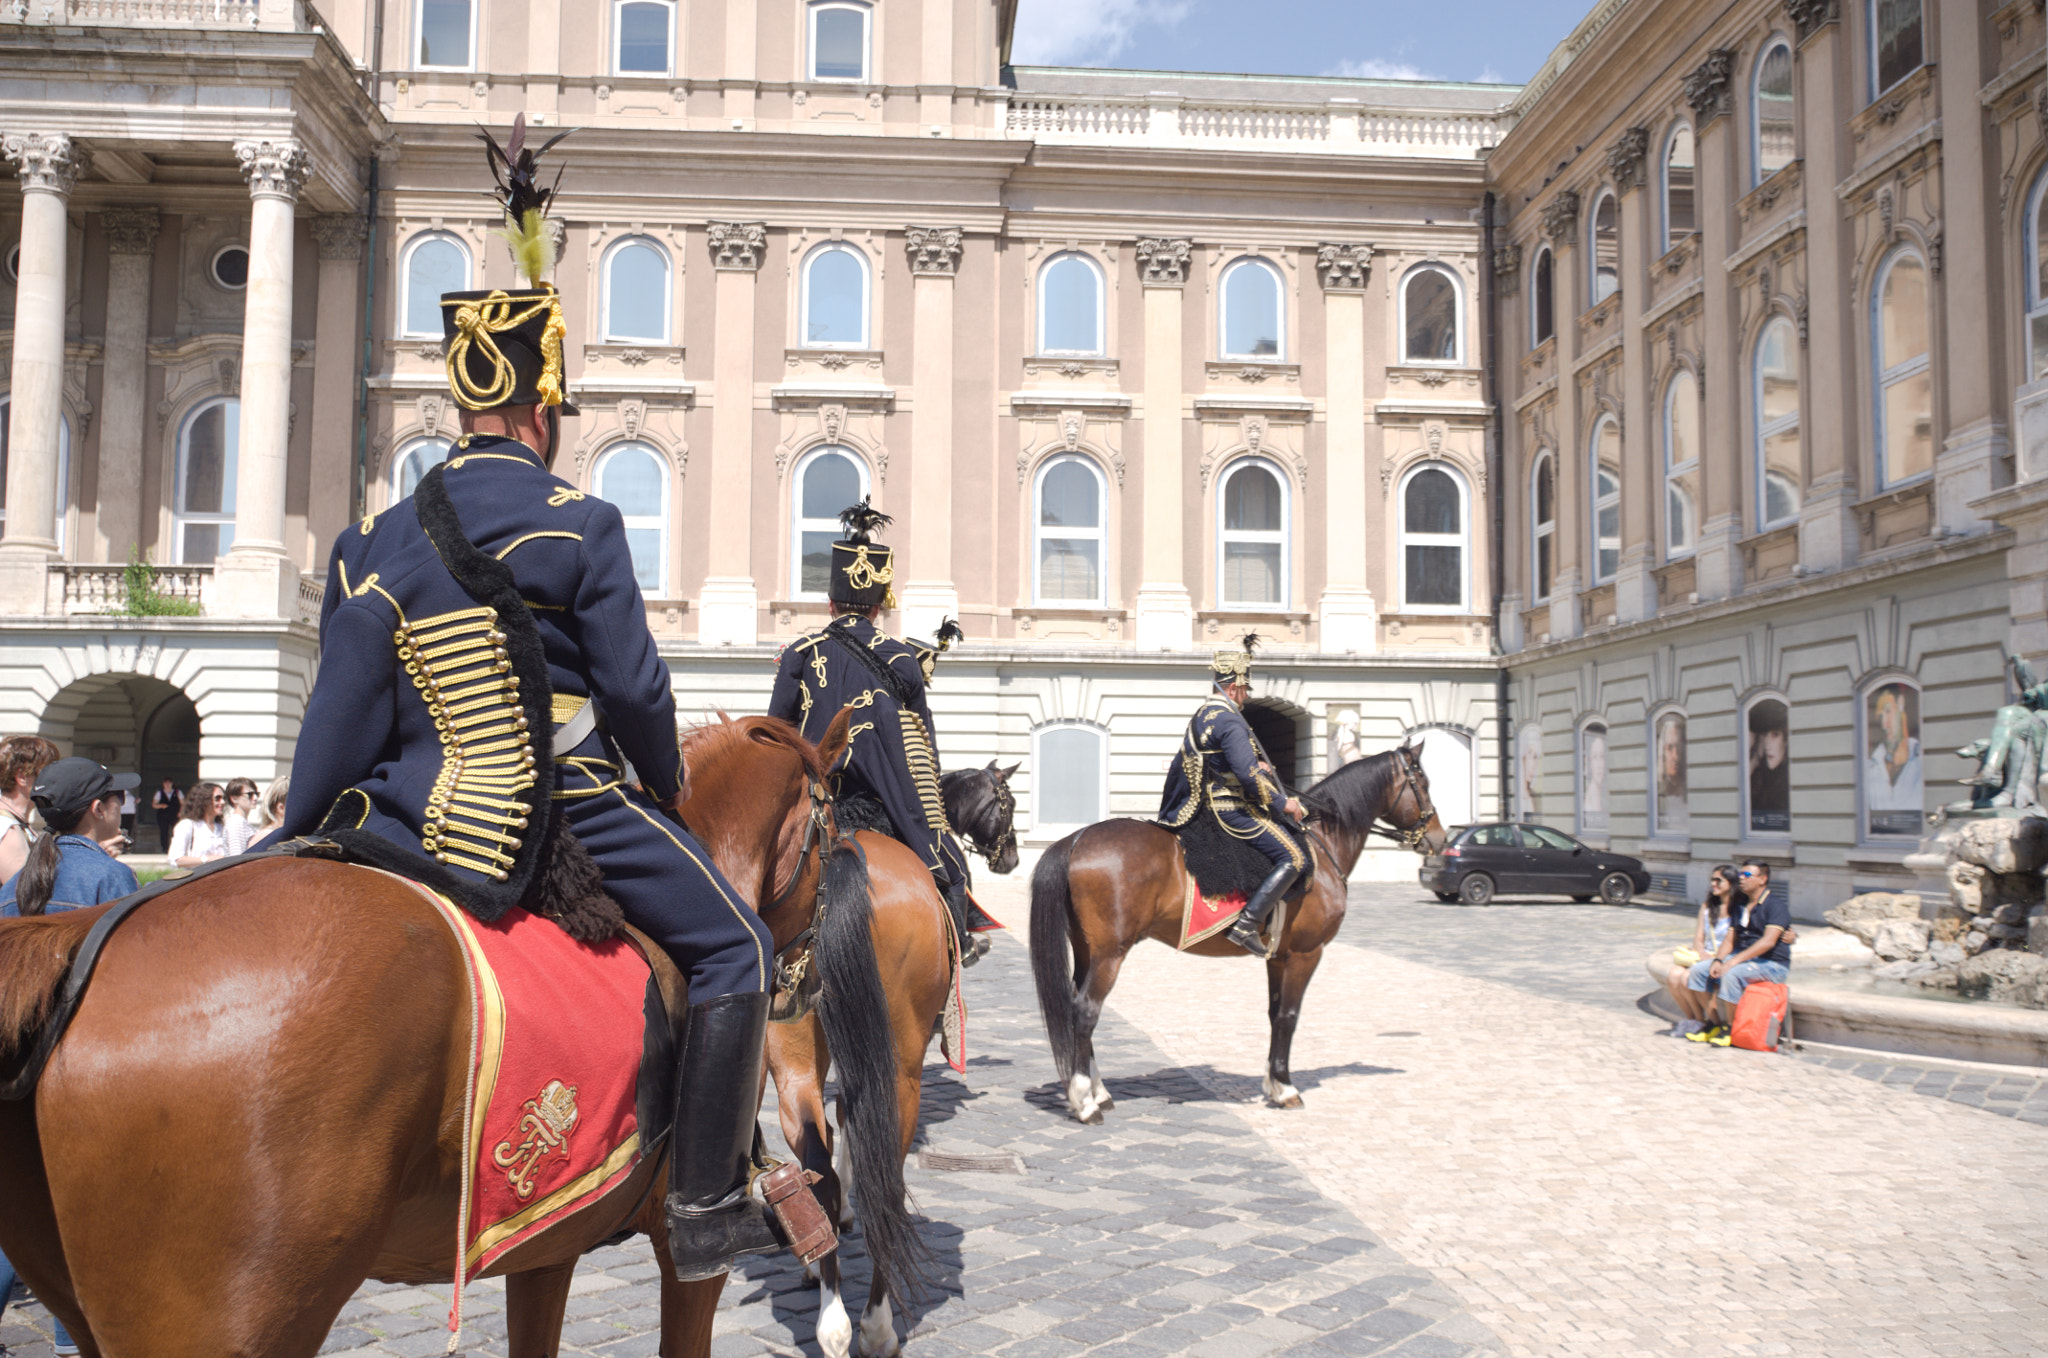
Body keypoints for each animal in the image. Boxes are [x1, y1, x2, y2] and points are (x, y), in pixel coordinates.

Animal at [765, 757, 1032, 1351]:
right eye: (1006, 803)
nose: (1011, 857)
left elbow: (842, 1121)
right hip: (901, 1065)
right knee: (887, 1175)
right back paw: (875, 1325)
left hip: (792, 1057)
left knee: (817, 1156)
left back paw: (829, 1308)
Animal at [1024, 737, 1441, 1122]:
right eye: (1422, 781)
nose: (1439, 838)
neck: (1322, 847)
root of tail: (1076, 838)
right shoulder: (1306, 953)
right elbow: (1290, 1016)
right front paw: (1286, 1087)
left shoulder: (1278, 957)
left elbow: (1274, 1014)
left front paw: (1273, 1084)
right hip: (1110, 953)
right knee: (1085, 1010)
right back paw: (1084, 1101)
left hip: (1088, 951)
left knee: (1076, 1005)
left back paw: (1099, 1091)